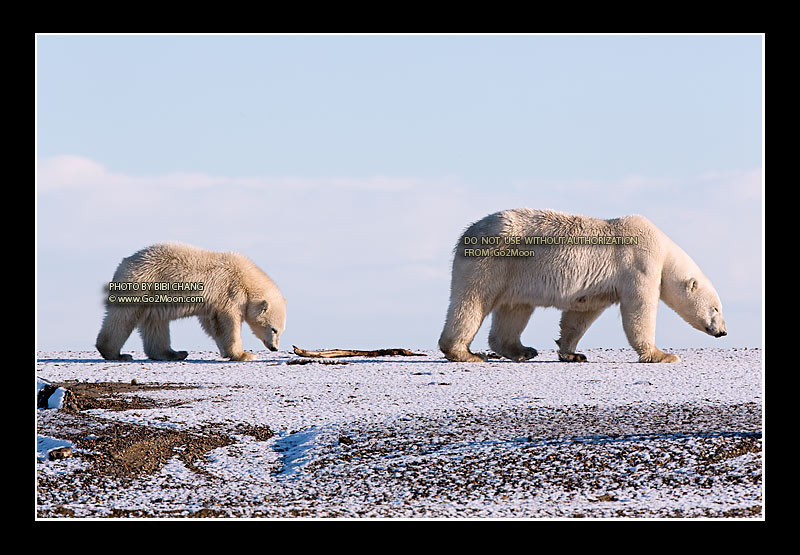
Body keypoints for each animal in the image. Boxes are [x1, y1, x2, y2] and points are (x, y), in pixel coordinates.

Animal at [96, 242, 286, 361]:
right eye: (274, 329)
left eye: (281, 331)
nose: (274, 348)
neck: (245, 277)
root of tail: (123, 264)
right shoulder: (229, 292)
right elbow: (229, 323)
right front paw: (244, 355)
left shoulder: (213, 302)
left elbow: (213, 325)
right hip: (142, 285)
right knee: (123, 317)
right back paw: (116, 353)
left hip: (154, 297)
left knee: (156, 324)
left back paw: (173, 353)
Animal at [438, 208, 727, 363]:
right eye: (716, 308)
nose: (723, 332)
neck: (664, 251)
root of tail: (468, 232)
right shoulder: (639, 264)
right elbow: (639, 311)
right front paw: (662, 355)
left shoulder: (596, 288)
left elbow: (580, 315)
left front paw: (571, 353)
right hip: (492, 262)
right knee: (472, 302)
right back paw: (467, 353)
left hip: (515, 276)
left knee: (515, 310)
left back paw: (522, 350)